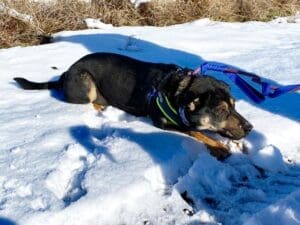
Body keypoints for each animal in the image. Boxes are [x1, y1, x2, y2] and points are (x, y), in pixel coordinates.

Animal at [14, 52, 253, 159]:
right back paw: (101, 108)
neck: (178, 92)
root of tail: (66, 73)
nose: (250, 128)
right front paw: (219, 147)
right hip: (85, 82)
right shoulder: (164, 123)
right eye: (220, 110)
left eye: (234, 106)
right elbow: (196, 131)